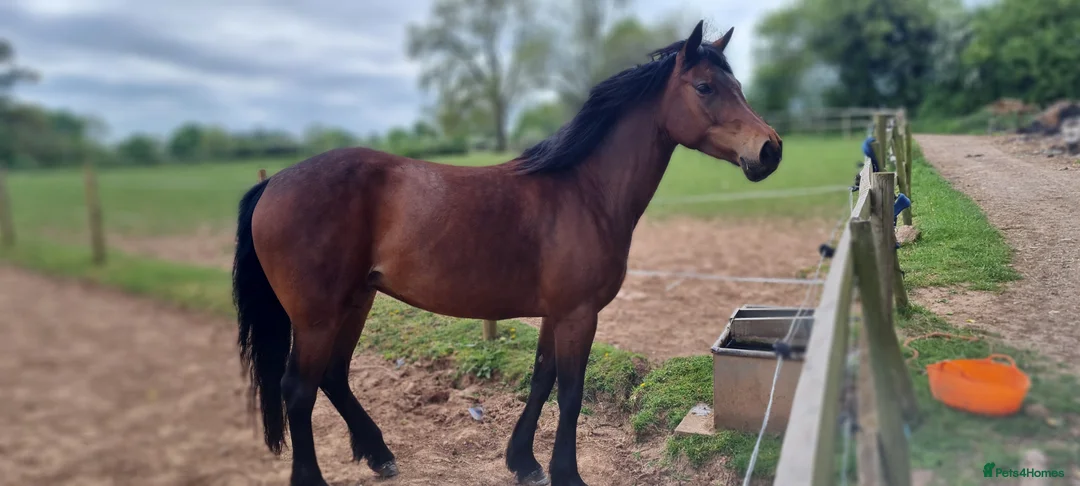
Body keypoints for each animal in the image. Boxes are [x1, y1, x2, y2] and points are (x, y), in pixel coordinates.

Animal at [232, 20, 782, 486]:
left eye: (737, 86)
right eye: (705, 87)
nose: (770, 149)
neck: (584, 192)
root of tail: (274, 183)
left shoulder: (556, 314)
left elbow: (541, 380)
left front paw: (524, 462)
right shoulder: (579, 314)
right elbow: (571, 394)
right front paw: (566, 474)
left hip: (355, 301)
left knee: (332, 376)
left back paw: (380, 454)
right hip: (317, 316)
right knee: (298, 391)